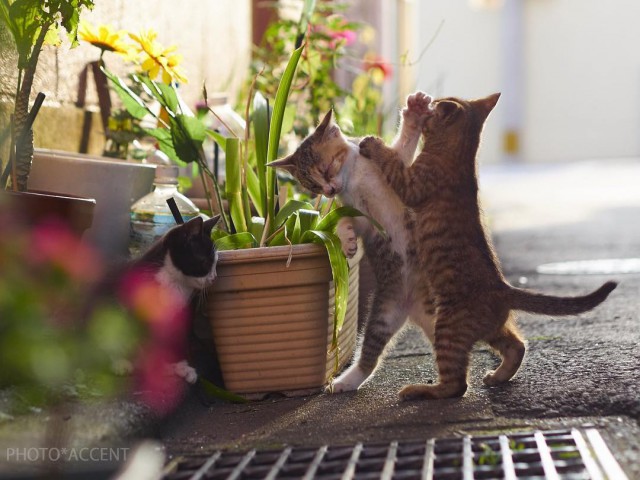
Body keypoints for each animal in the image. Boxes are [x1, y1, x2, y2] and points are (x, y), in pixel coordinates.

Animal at [268, 92, 438, 392]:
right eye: (311, 185)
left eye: (326, 168)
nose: (328, 190)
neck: (353, 175)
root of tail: (412, 308)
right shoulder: (361, 217)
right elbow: (346, 221)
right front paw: (347, 242)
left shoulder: (395, 168)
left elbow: (403, 148)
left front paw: (415, 112)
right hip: (383, 313)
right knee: (370, 355)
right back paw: (344, 381)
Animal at [358, 92, 616, 400]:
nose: (427, 104)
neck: (459, 155)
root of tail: (503, 289)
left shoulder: (411, 184)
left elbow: (391, 161)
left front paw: (372, 142)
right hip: (490, 329)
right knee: (517, 345)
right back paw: (498, 376)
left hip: (448, 327)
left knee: (456, 385)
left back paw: (418, 390)